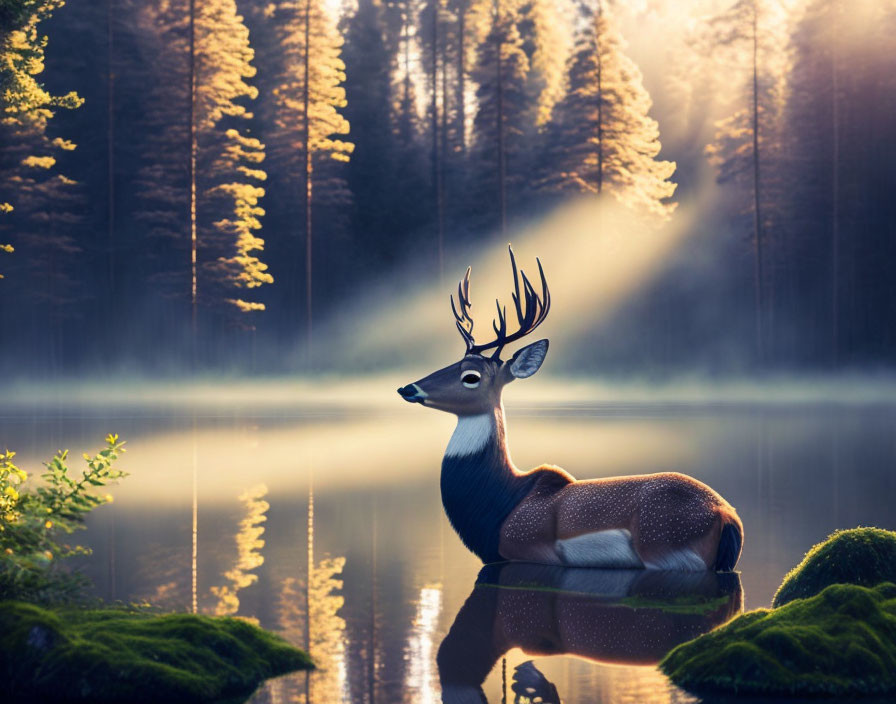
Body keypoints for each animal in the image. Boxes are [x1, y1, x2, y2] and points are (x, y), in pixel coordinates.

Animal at [398, 248, 744, 572]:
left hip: (665, 545)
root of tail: (727, 516)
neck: (503, 504)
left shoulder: (528, 550)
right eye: (453, 361)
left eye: (470, 376)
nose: (408, 388)